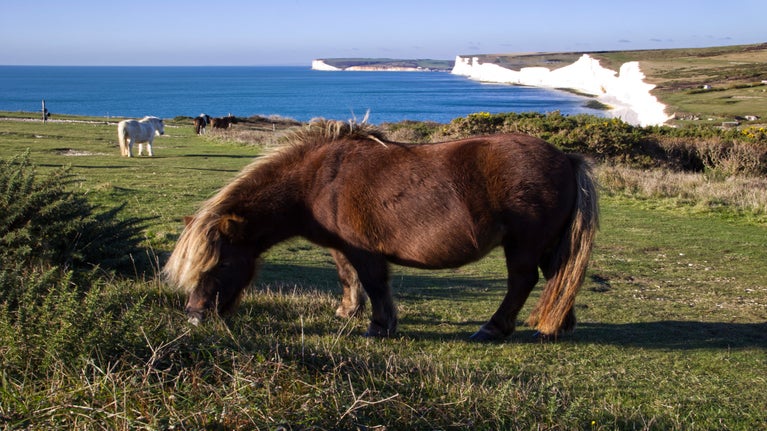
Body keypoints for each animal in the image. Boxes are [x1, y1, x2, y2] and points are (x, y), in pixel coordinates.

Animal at [163, 120, 599, 341]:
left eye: (221, 265)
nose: (195, 317)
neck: (318, 180)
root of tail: (567, 157)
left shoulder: (364, 249)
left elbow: (374, 283)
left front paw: (379, 325)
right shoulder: (341, 247)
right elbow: (347, 277)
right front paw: (347, 312)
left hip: (523, 244)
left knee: (523, 281)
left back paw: (495, 327)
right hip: (547, 244)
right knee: (558, 275)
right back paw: (558, 324)